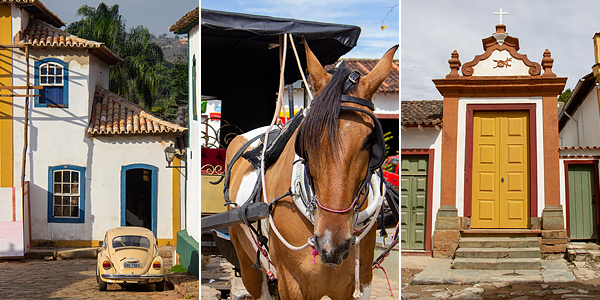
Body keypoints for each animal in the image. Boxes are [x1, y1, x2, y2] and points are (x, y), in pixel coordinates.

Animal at [225, 42, 398, 300]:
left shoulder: (361, 279)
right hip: (248, 266)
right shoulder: (290, 283)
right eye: (305, 139)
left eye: (370, 141)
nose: (332, 244)